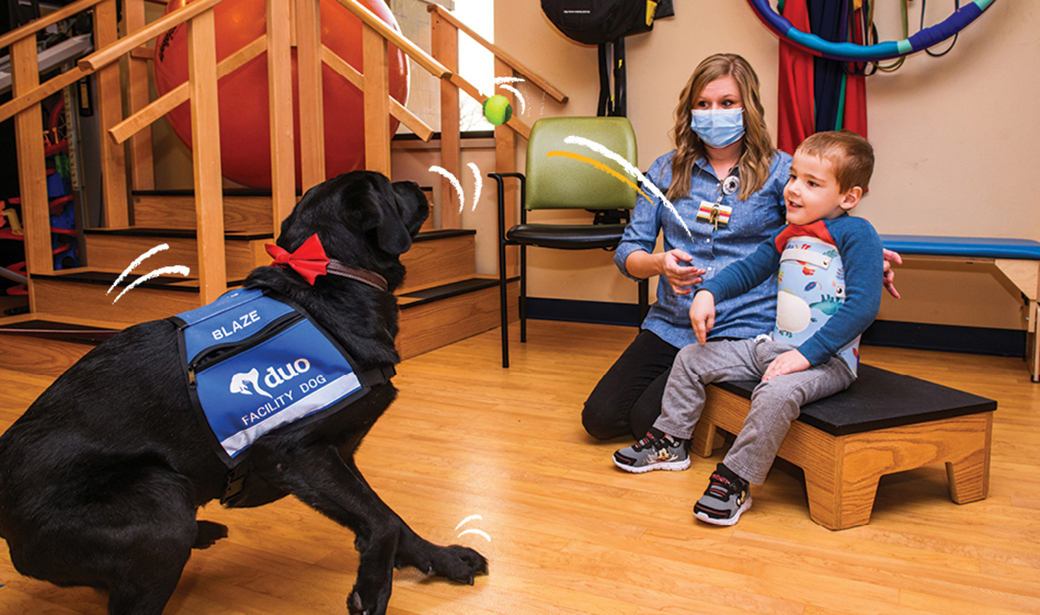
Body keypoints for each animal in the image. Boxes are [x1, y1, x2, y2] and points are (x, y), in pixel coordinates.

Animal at [0, 171, 486, 615]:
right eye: (387, 185)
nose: (418, 184)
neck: (329, 280)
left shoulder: (339, 455)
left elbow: (390, 518)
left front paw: (442, 560)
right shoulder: (295, 454)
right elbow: (382, 521)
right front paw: (371, 589)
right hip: (162, 503)